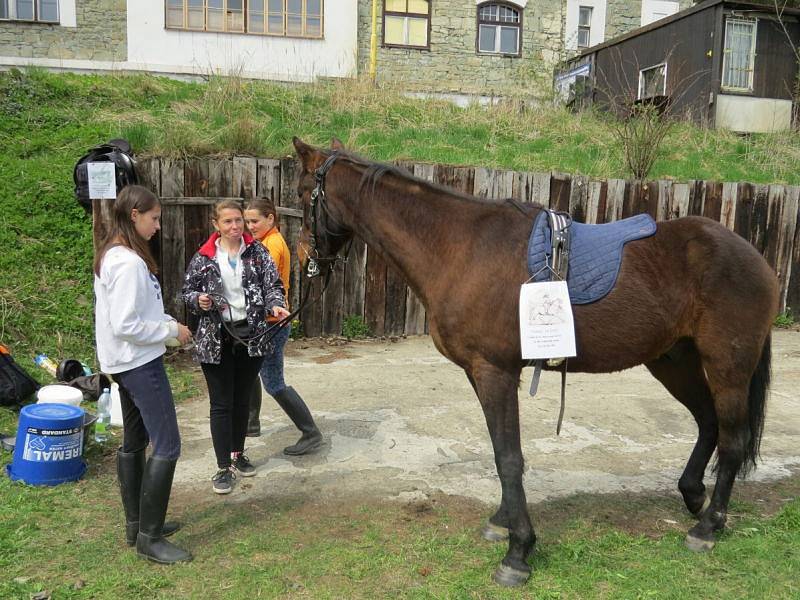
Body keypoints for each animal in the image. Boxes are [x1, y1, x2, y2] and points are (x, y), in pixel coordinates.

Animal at [290, 137, 780, 584]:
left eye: (301, 192)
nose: (305, 259)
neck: (459, 247)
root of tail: (753, 256)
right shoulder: (481, 374)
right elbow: (502, 451)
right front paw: (503, 522)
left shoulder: (495, 372)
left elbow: (509, 457)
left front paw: (518, 551)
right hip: (673, 361)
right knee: (708, 422)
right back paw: (693, 495)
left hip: (727, 366)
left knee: (733, 440)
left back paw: (708, 526)